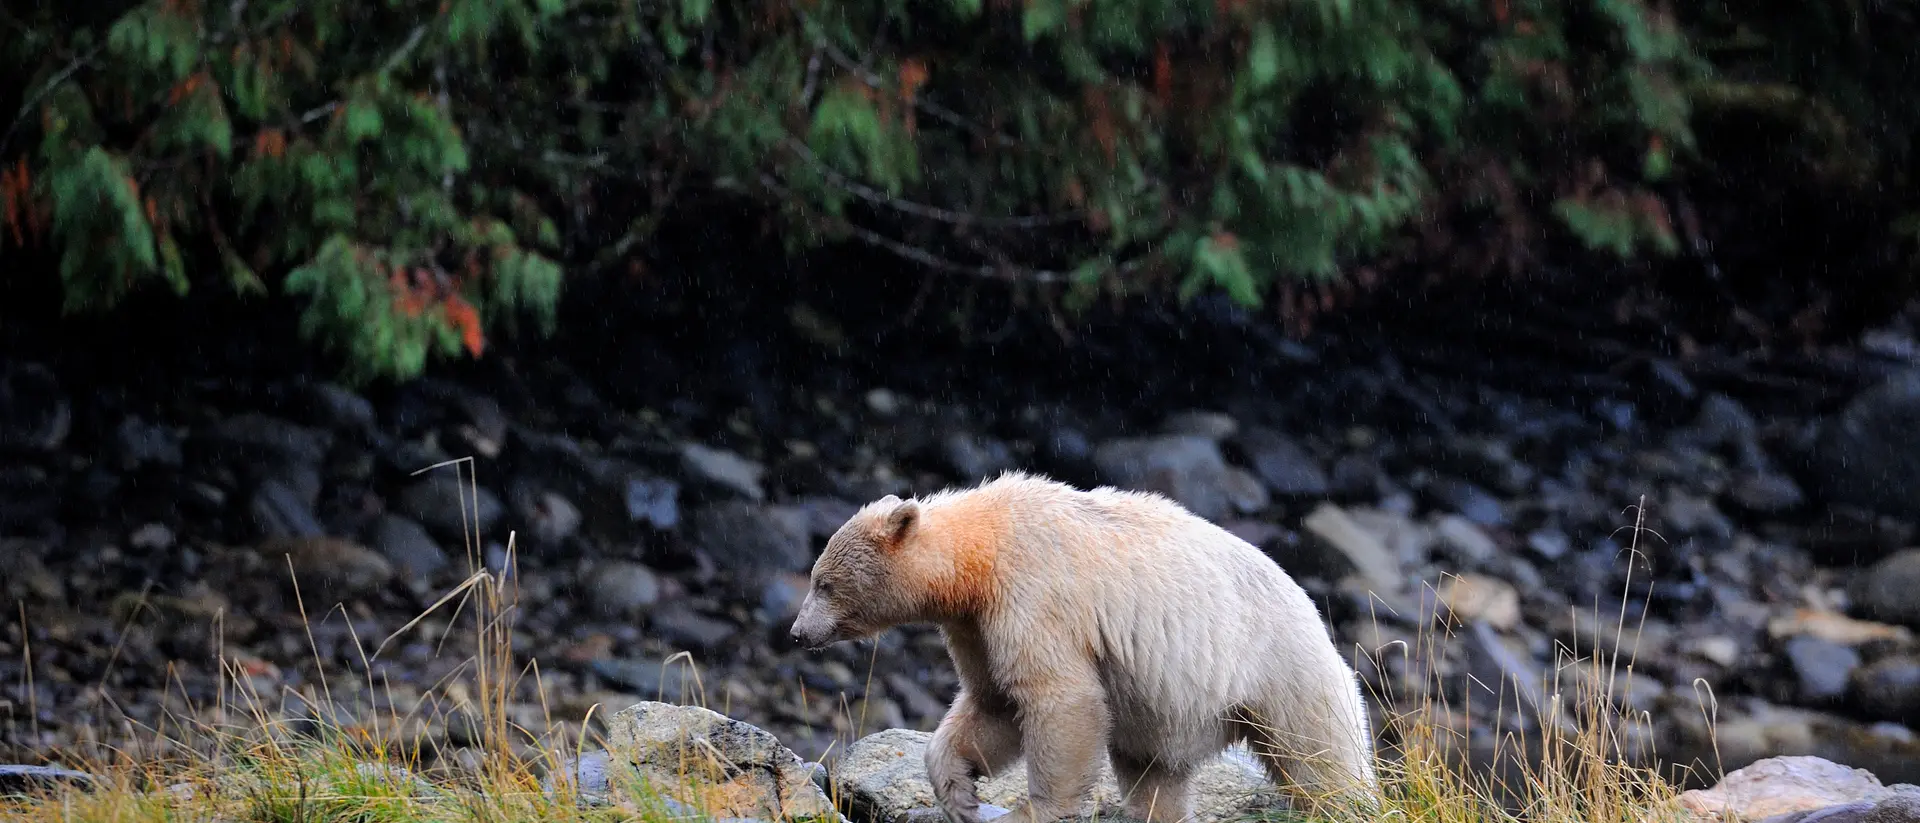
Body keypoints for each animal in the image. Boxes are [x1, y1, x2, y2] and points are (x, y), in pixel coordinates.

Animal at [789, 471, 1379, 823]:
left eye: (824, 583)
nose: (797, 632)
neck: (985, 548)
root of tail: (1314, 615)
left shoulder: (1036, 595)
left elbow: (1059, 699)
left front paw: (1033, 810)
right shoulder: (976, 624)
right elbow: (993, 701)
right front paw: (958, 792)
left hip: (1282, 673)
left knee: (1320, 761)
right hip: (1163, 711)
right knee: (1153, 776)